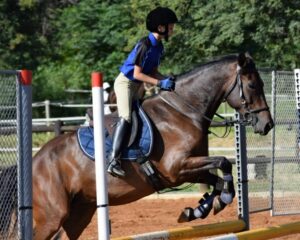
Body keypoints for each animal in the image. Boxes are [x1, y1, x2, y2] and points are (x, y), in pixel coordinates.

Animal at [0, 52, 274, 238]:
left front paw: (201, 208)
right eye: (252, 85)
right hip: (52, 215)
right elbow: (224, 162)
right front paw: (217, 200)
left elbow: (218, 176)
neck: (184, 110)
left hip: (79, 213)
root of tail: (32, 163)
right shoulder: (176, 168)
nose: (267, 124)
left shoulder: (189, 169)